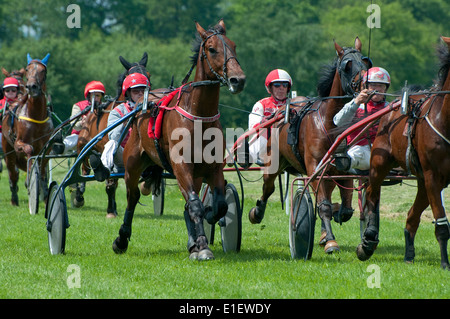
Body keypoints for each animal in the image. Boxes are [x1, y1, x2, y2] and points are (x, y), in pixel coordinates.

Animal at [1, 53, 53, 206]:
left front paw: (44, 191)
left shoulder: (47, 146)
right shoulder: (19, 143)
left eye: (43, 70)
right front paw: (29, 179)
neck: (35, 115)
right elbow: (29, 150)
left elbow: (43, 164)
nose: (31, 86)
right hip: (7, 149)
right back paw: (14, 199)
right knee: (13, 174)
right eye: (28, 69)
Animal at [73, 53, 150, 218]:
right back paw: (79, 196)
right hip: (83, 145)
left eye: (148, 74)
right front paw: (110, 210)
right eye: (130, 75)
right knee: (84, 168)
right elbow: (110, 182)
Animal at [111, 19, 246, 260]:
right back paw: (122, 239)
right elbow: (194, 204)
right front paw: (202, 245)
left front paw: (206, 224)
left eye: (234, 46)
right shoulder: (181, 164)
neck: (198, 115)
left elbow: (219, 205)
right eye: (212, 49)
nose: (238, 79)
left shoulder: (212, 167)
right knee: (132, 196)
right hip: (132, 163)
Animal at [248, 38, 370, 255]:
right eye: (347, 66)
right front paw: (330, 241)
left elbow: (344, 209)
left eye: (365, 62)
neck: (332, 123)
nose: (365, 85)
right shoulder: (315, 166)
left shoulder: (341, 167)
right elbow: (323, 206)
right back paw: (257, 212)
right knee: (268, 187)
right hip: (273, 162)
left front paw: (333, 221)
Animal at [358, 35, 450, 270]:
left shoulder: (435, 178)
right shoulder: (433, 175)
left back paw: (408, 253)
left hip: (422, 180)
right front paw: (445, 263)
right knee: (371, 194)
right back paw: (368, 239)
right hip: (379, 163)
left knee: (411, 217)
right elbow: (442, 224)